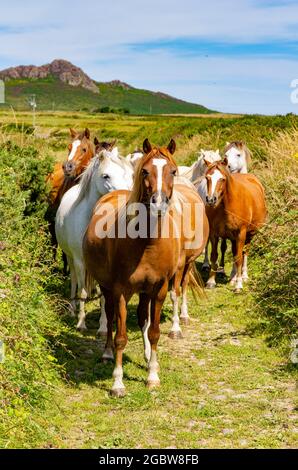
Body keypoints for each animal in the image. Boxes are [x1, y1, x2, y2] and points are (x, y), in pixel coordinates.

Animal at [55, 148, 134, 330]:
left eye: (129, 174)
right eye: (106, 176)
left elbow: (104, 295)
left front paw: (103, 325)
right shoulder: (79, 261)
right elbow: (82, 291)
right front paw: (81, 322)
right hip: (70, 258)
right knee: (74, 281)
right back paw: (72, 309)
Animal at [82, 138, 208, 394]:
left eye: (173, 171)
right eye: (145, 171)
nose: (159, 204)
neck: (146, 243)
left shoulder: (158, 289)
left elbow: (154, 331)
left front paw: (152, 374)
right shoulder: (121, 291)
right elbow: (120, 336)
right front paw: (118, 383)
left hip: (144, 292)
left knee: (142, 319)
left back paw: (148, 355)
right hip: (108, 289)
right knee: (109, 317)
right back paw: (107, 354)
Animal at [205, 162, 266, 294]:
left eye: (222, 179)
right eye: (207, 178)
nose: (211, 200)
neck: (226, 204)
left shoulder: (240, 233)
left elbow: (239, 258)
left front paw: (239, 285)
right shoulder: (214, 234)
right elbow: (214, 255)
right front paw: (211, 282)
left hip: (249, 234)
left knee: (244, 252)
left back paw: (243, 276)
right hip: (233, 237)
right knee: (234, 252)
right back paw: (233, 277)